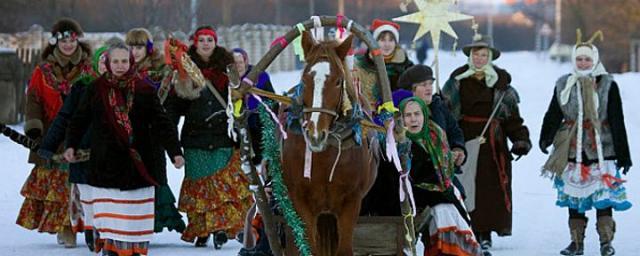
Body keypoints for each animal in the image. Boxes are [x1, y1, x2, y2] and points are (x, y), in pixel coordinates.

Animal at [282, 31, 378, 255]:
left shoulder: (351, 201)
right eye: (305, 79)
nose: (315, 134)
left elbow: (344, 249)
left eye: (337, 81)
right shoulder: (300, 199)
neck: (324, 158)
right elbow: (310, 247)